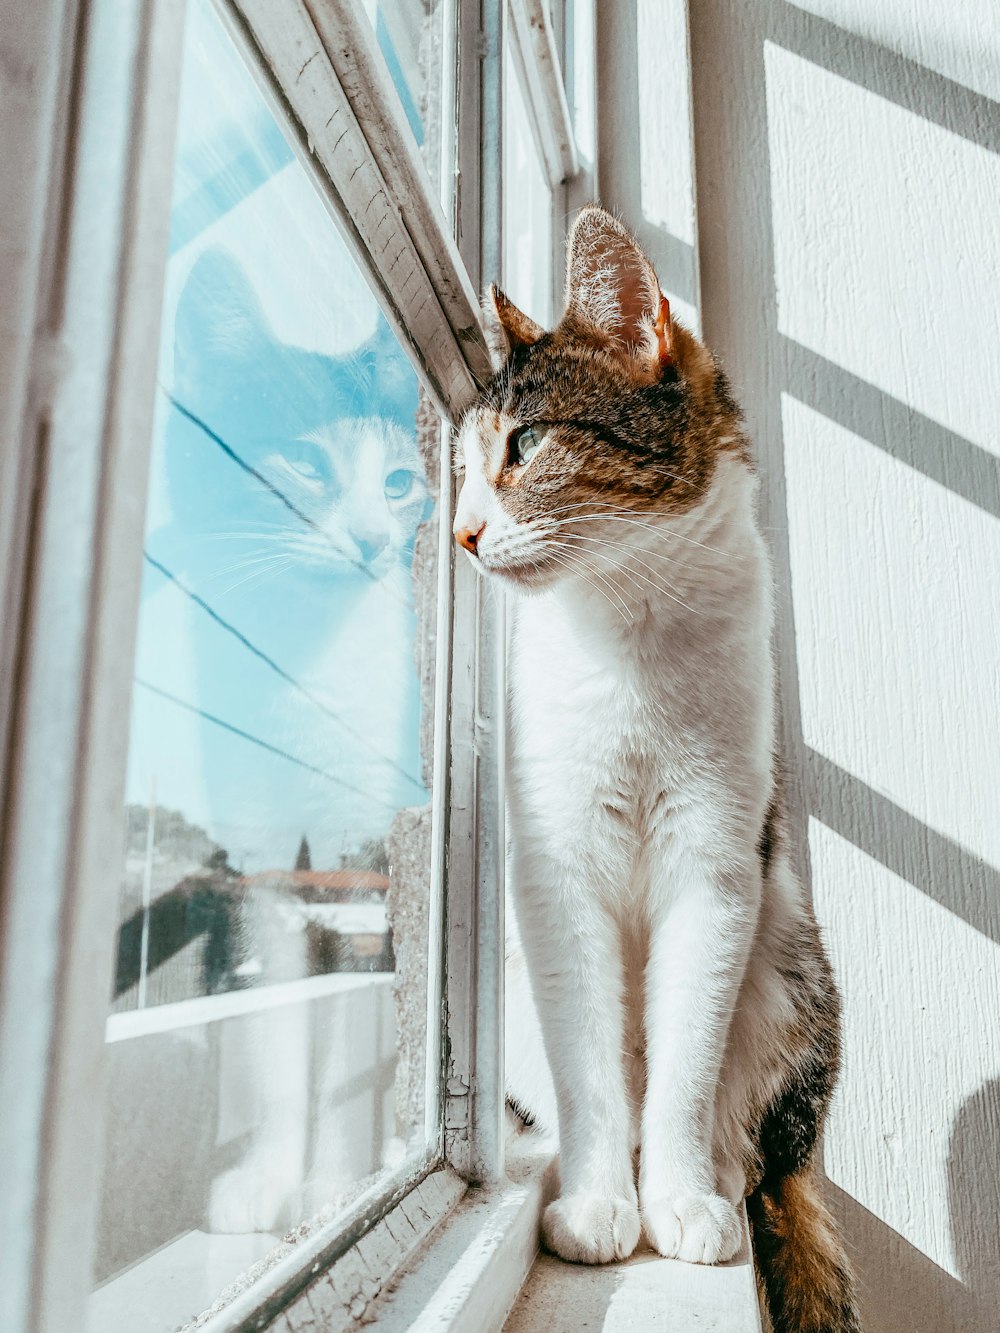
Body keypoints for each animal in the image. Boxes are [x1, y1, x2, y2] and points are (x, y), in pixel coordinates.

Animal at [453, 205, 864, 1333]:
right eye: (458, 468)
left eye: (526, 442)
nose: (460, 533)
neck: (625, 626)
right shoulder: (554, 870)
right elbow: (595, 1062)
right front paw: (604, 1202)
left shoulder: (717, 862)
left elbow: (683, 1055)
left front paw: (675, 1202)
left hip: (794, 971)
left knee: (757, 1142)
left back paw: (717, 1178)